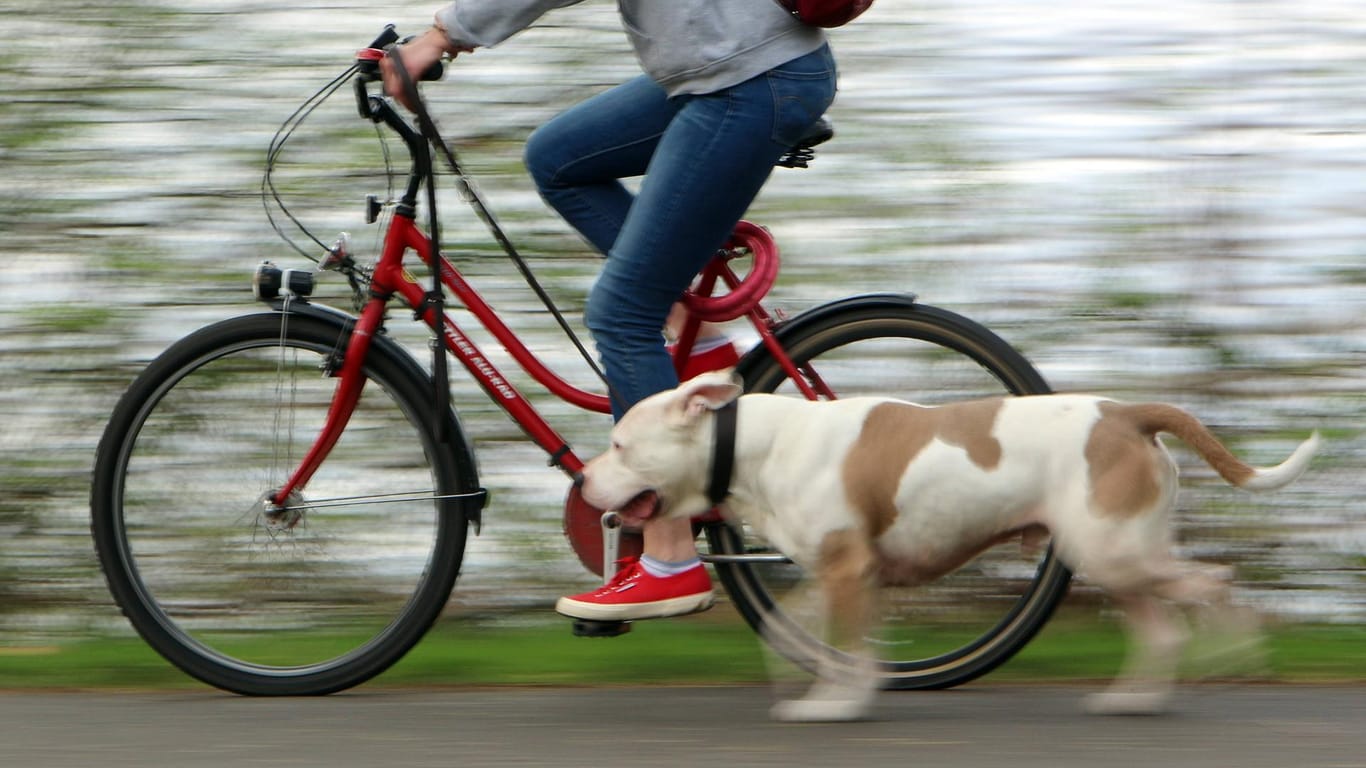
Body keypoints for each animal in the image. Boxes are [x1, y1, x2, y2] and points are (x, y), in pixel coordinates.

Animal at [579, 371, 1322, 716]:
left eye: (620, 445)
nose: (583, 479)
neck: (753, 444)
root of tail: (1128, 414)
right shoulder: (841, 574)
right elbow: (809, 634)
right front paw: (824, 688)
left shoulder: (847, 570)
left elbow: (843, 647)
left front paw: (837, 705)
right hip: (1111, 555)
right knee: (1163, 626)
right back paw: (1132, 700)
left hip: (1113, 551)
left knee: (1214, 584)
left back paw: (1235, 651)